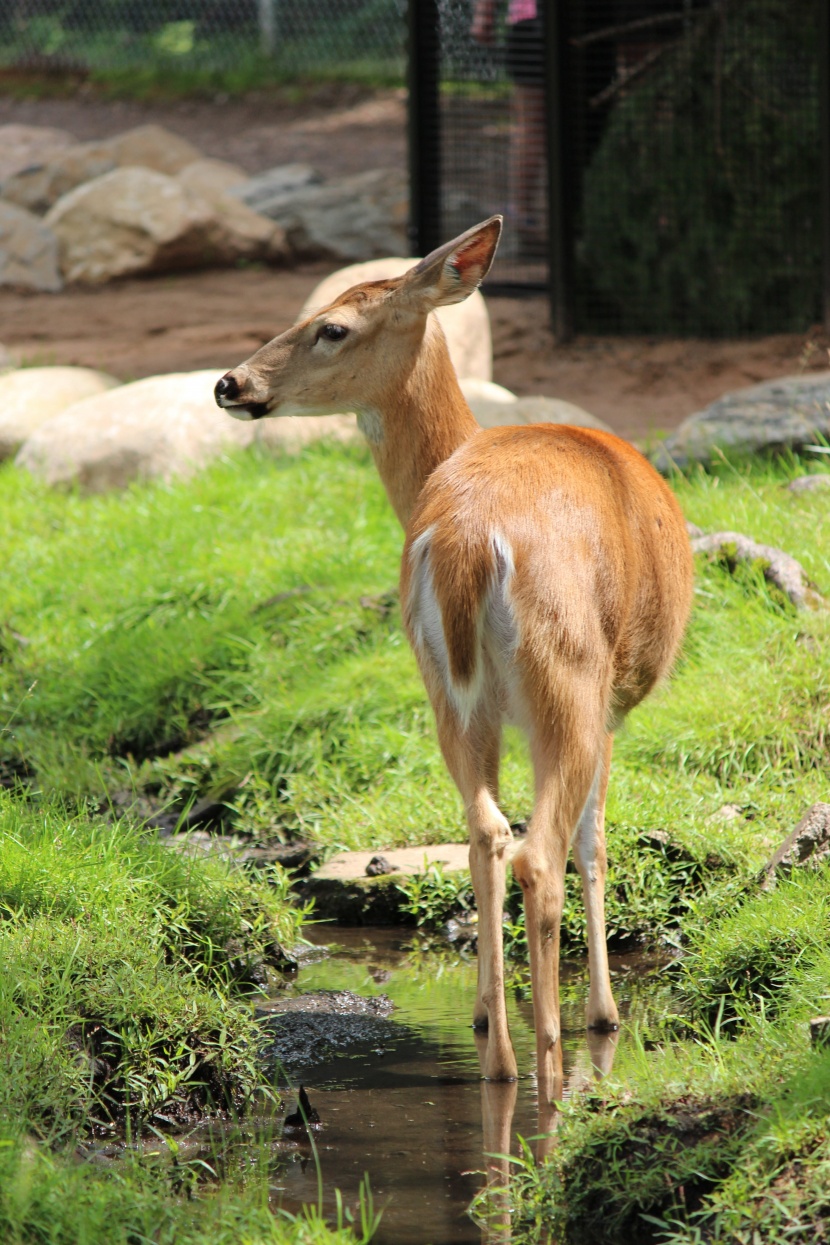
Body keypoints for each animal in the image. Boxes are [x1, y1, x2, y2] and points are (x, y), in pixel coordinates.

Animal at [216, 219, 696, 1095]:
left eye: (331, 327)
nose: (230, 383)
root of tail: (472, 536)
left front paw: (482, 1010)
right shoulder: (613, 704)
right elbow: (596, 843)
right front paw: (604, 1015)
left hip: (445, 687)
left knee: (485, 829)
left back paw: (498, 1054)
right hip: (568, 675)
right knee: (539, 850)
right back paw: (549, 1054)